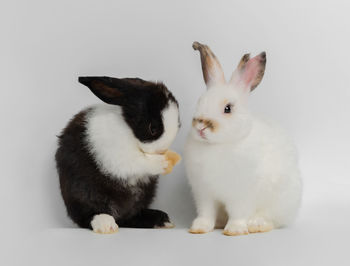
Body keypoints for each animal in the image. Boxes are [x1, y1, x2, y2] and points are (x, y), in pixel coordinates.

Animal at [55, 76, 180, 233]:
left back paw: (161, 220)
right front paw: (163, 163)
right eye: (153, 128)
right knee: (86, 216)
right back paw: (105, 224)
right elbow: (138, 163)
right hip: (81, 194)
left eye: (179, 124)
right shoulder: (116, 157)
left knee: (130, 217)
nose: (161, 151)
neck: (129, 130)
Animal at [185, 42, 302, 237]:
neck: (217, 145)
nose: (201, 127)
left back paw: (257, 224)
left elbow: (238, 213)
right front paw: (199, 228)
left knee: (272, 220)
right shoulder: (204, 193)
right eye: (199, 102)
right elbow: (206, 213)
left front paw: (234, 230)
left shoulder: (241, 194)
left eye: (228, 108)